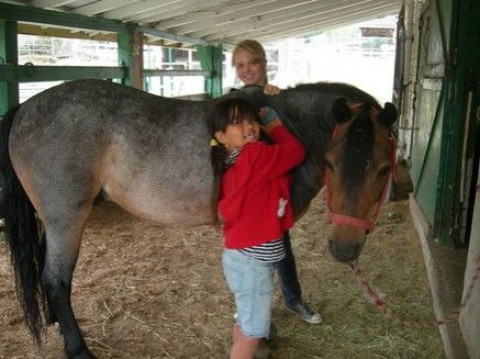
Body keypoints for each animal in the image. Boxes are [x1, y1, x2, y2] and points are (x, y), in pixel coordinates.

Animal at [0, 80, 398, 358]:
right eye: (331, 162)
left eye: (383, 169)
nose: (344, 248)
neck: (286, 128)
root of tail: (25, 107)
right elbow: (268, 271)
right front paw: (262, 336)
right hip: (67, 218)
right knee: (56, 279)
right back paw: (78, 348)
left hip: (52, 220)